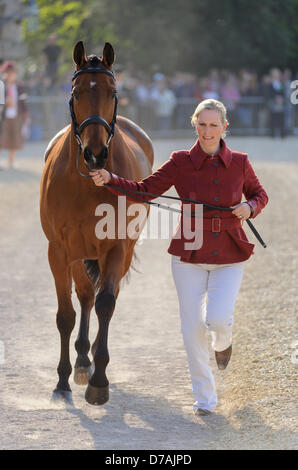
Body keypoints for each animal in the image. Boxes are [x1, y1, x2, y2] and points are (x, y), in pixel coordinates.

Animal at [39, 41, 154, 404]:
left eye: (112, 92)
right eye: (76, 93)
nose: (94, 154)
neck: (86, 184)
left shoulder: (116, 248)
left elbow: (106, 304)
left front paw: (99, 382)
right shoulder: (59, 251)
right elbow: (66, 314)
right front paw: (62, 380)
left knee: (102, 297)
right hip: (78, 254)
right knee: (85, 295)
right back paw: (80, 361)